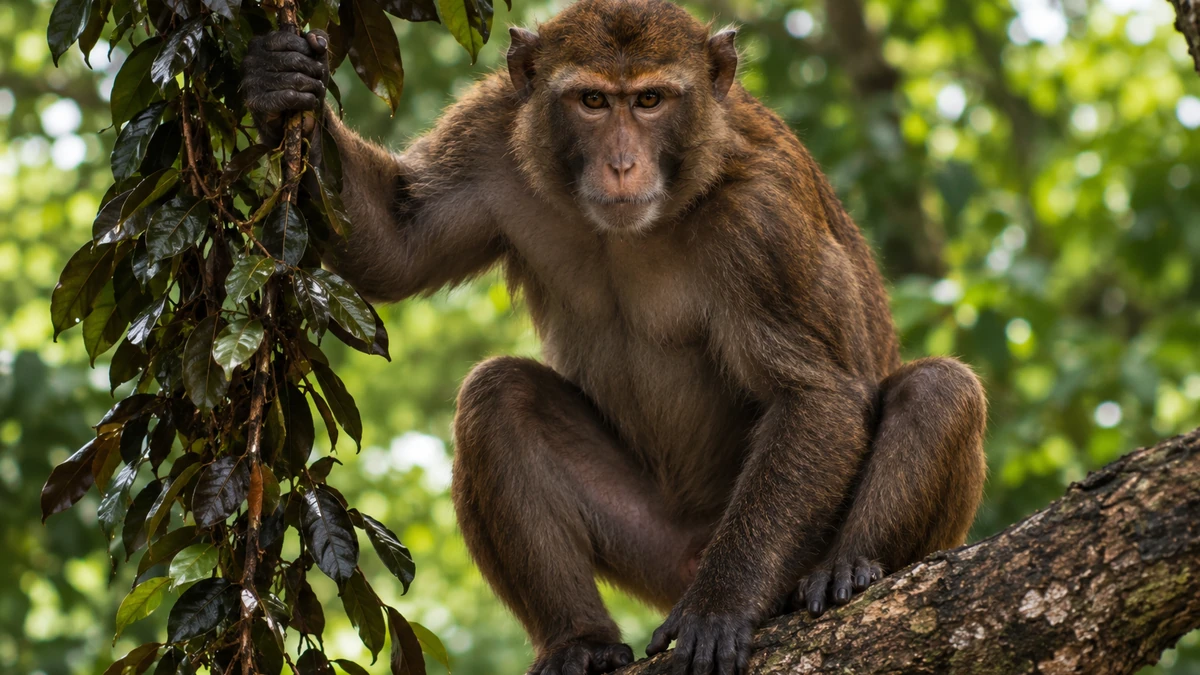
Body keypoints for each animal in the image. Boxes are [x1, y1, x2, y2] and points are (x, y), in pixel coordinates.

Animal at [241, 1, 987, 674]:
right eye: (593, 102)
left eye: (651, 100)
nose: (623, 163)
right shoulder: (492, 132)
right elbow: (398, 243)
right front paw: (278, 81)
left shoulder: (762, 218)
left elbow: (815, 393)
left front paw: (722, 603)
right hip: (655, 545)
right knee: (498, 395)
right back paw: (581, 640)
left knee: (939, 388)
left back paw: (847, 568)